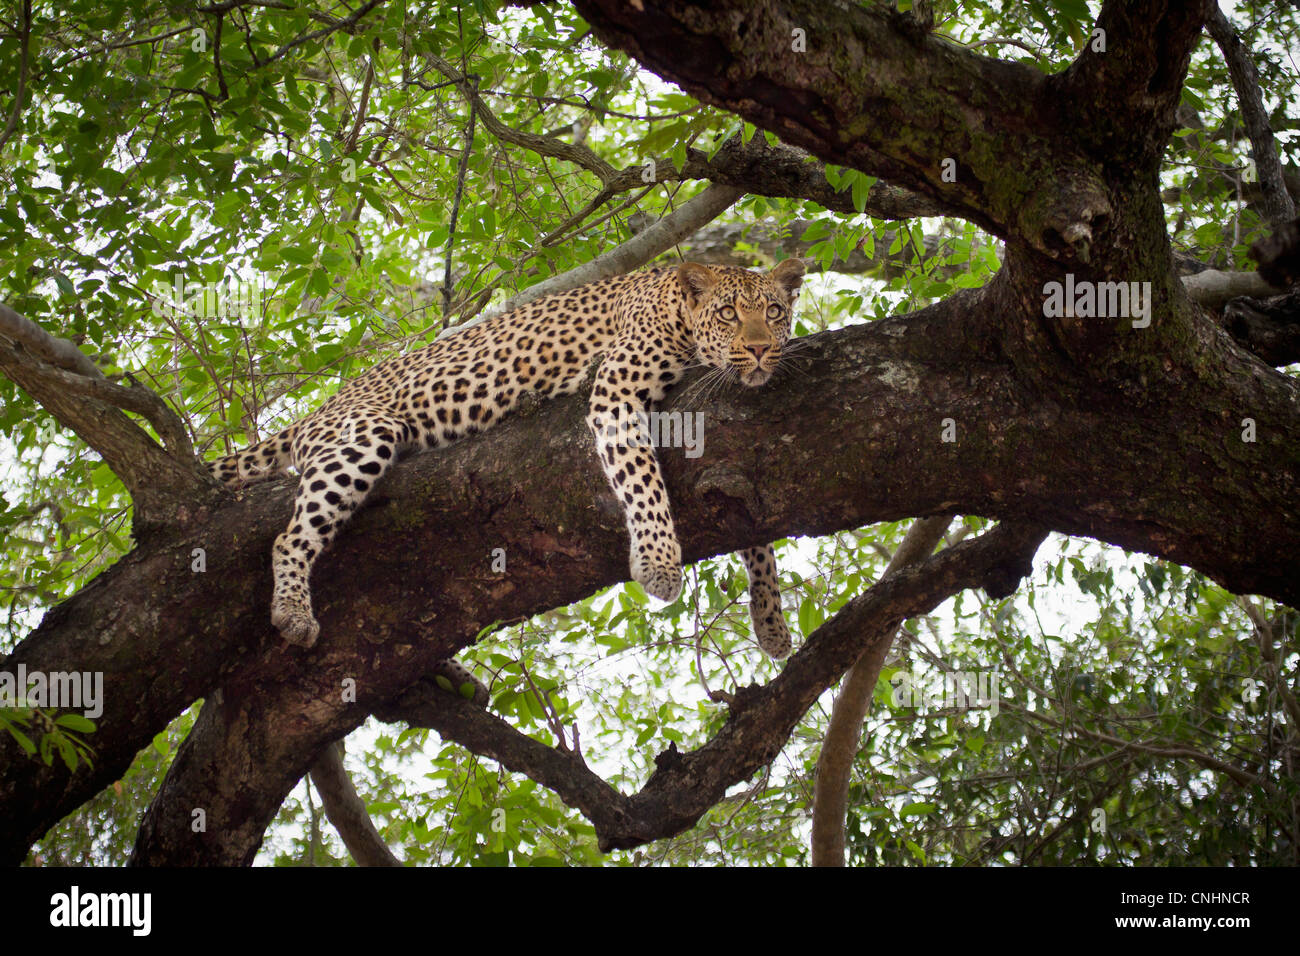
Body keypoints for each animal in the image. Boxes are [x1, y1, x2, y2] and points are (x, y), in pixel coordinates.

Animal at [208, 261, 800, 665]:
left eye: (773, 313)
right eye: (728, 314)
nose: (758, 350)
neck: (680, 313)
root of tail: (321, 407)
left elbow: (756, 534)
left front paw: (770, 620)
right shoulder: (615, 390)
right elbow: (641, 480)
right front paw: (658, 563)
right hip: (361, 435)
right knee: (289, 537)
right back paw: (292, 612)